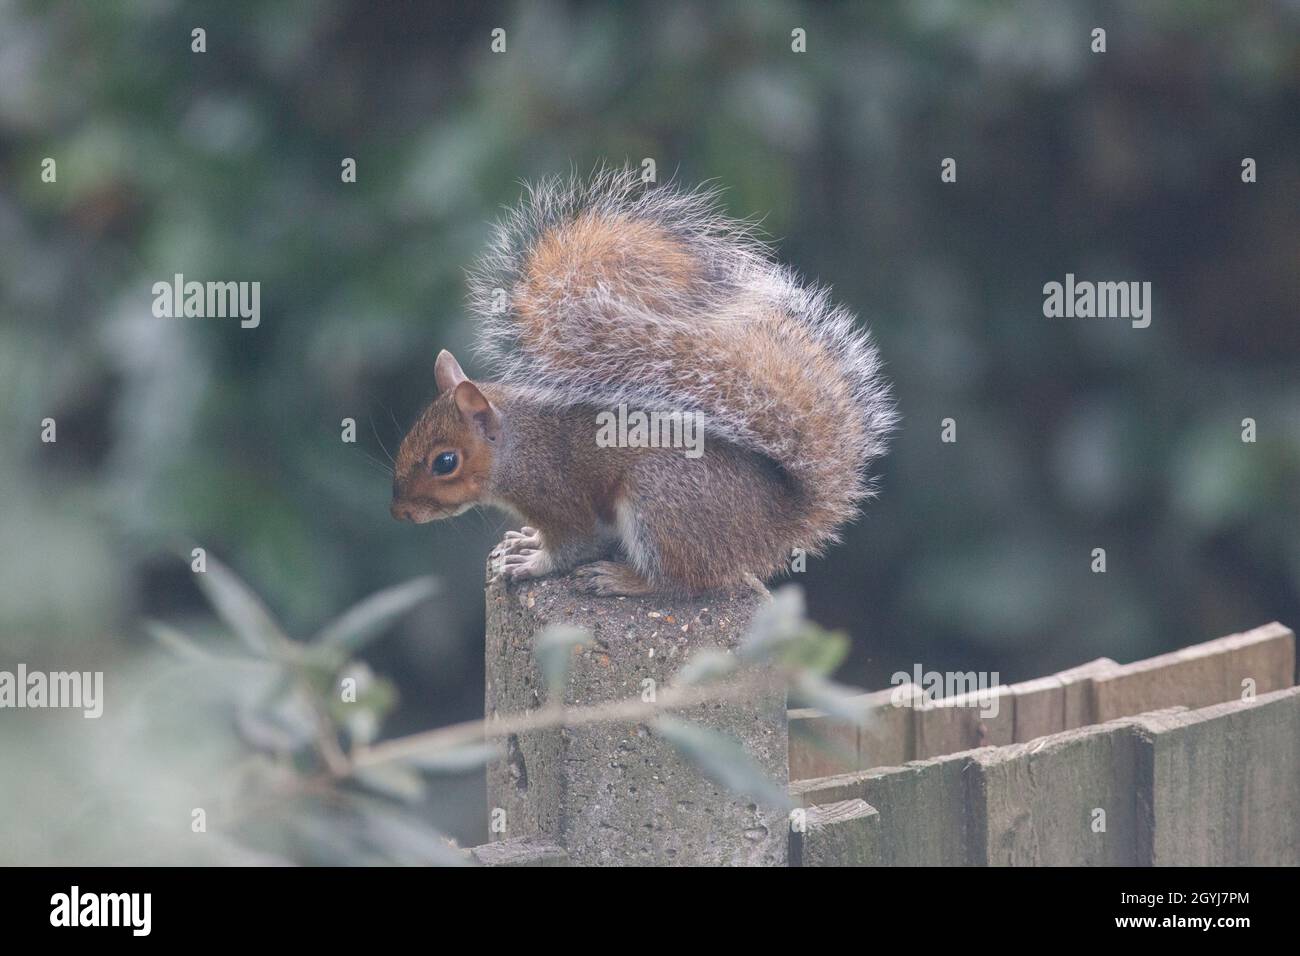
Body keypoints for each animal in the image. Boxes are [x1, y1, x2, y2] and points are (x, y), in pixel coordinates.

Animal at [391, 168, 896, 596]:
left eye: (445, 462)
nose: (401, 513)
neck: (516, 443)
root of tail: (773, 526)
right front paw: (525, 541)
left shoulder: (558, 496)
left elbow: (573, 546)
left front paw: (531, 563)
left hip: (660, 500)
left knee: (679, 582)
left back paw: (622, 579)